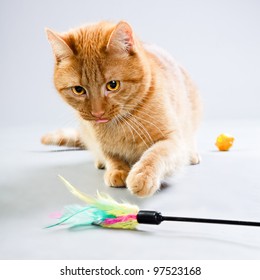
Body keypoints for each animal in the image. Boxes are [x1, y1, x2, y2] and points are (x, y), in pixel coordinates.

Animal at [42, 20, 201, 197]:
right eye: (78, 90)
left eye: (113, 85)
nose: (97, 113)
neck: (121, 125)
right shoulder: (100, 142)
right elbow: (111, 156)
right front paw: (117, 170)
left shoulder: (172, 139)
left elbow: (155, 154)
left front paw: (142, 175)